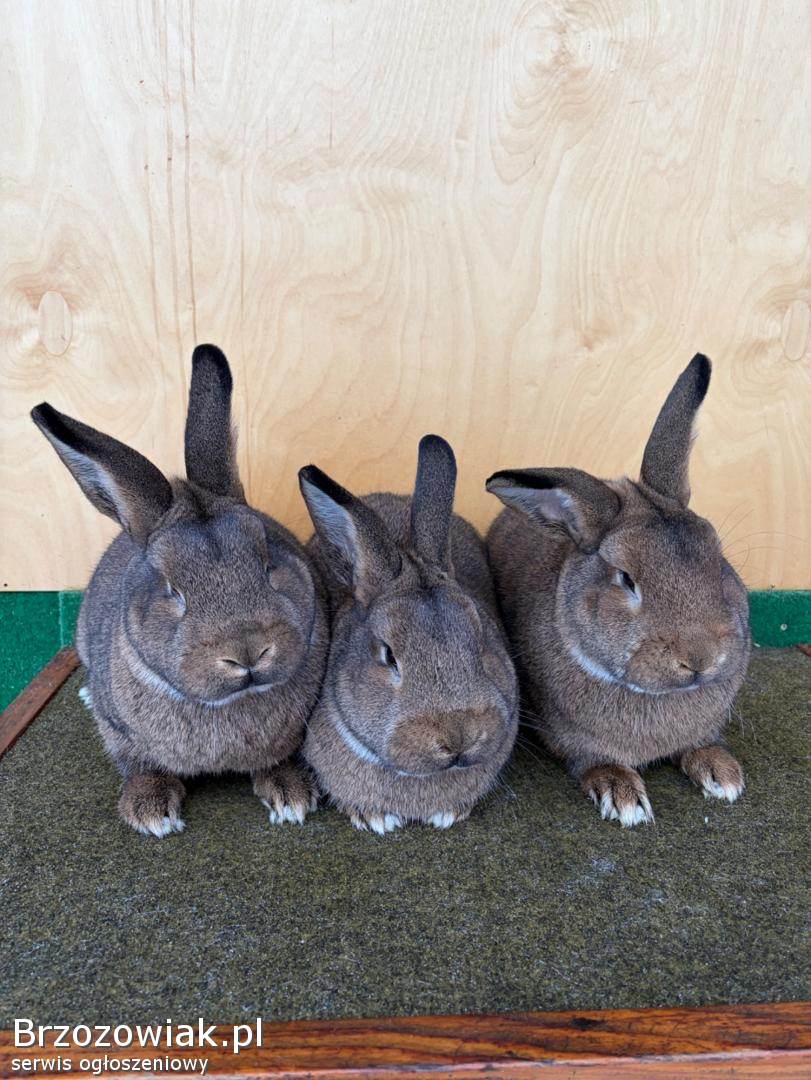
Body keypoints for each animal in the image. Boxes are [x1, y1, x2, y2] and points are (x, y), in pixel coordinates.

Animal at [31, 344, 329, 837]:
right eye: (172, 588)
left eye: (268, 561)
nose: (247, 652)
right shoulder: (121, 733)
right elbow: (139, 764)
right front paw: (151, 812)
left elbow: (278, 759)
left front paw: (291, 796)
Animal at [486, 354, 750, 827]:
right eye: (626, 579)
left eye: (718, 557)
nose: (702, 659)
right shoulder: (572, 738)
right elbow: (595, 761)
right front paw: (623, 797)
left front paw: (723, 774)